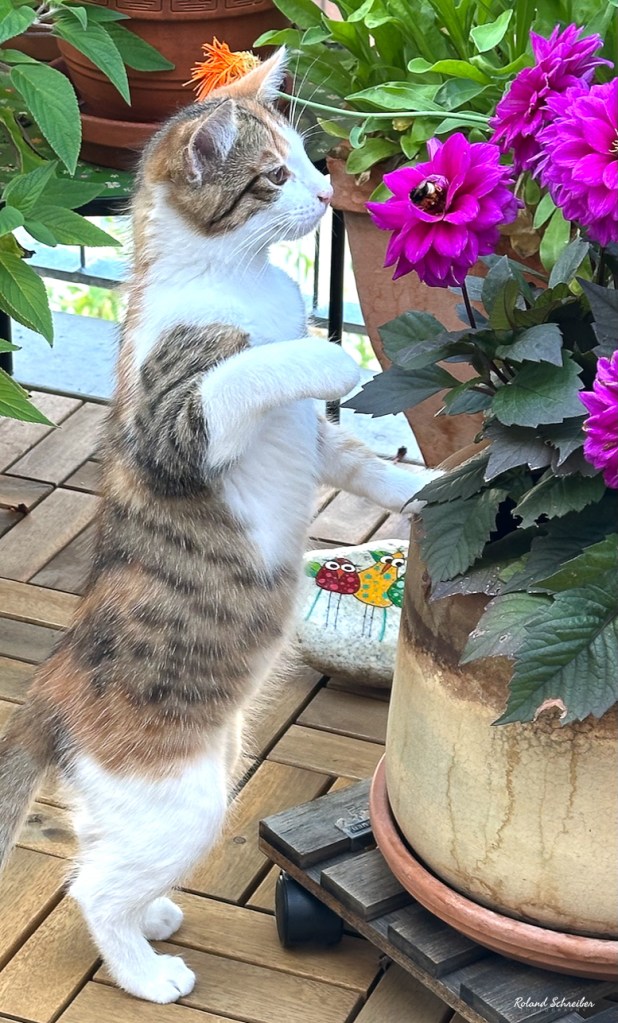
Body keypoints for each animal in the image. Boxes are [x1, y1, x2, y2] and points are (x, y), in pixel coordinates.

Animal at [0, 49, 439, 1004]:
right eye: (274, 176)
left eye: (310, 160)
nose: (326, 194)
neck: (236, 279)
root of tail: (46, 692)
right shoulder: (176, 424)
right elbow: (246, 371)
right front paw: (327, 354)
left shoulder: (311, 441)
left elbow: (355, 460)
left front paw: (425, 484)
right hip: (184, 796)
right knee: (91, 886)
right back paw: (145, 969)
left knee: (99, 859)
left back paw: (154, 917)